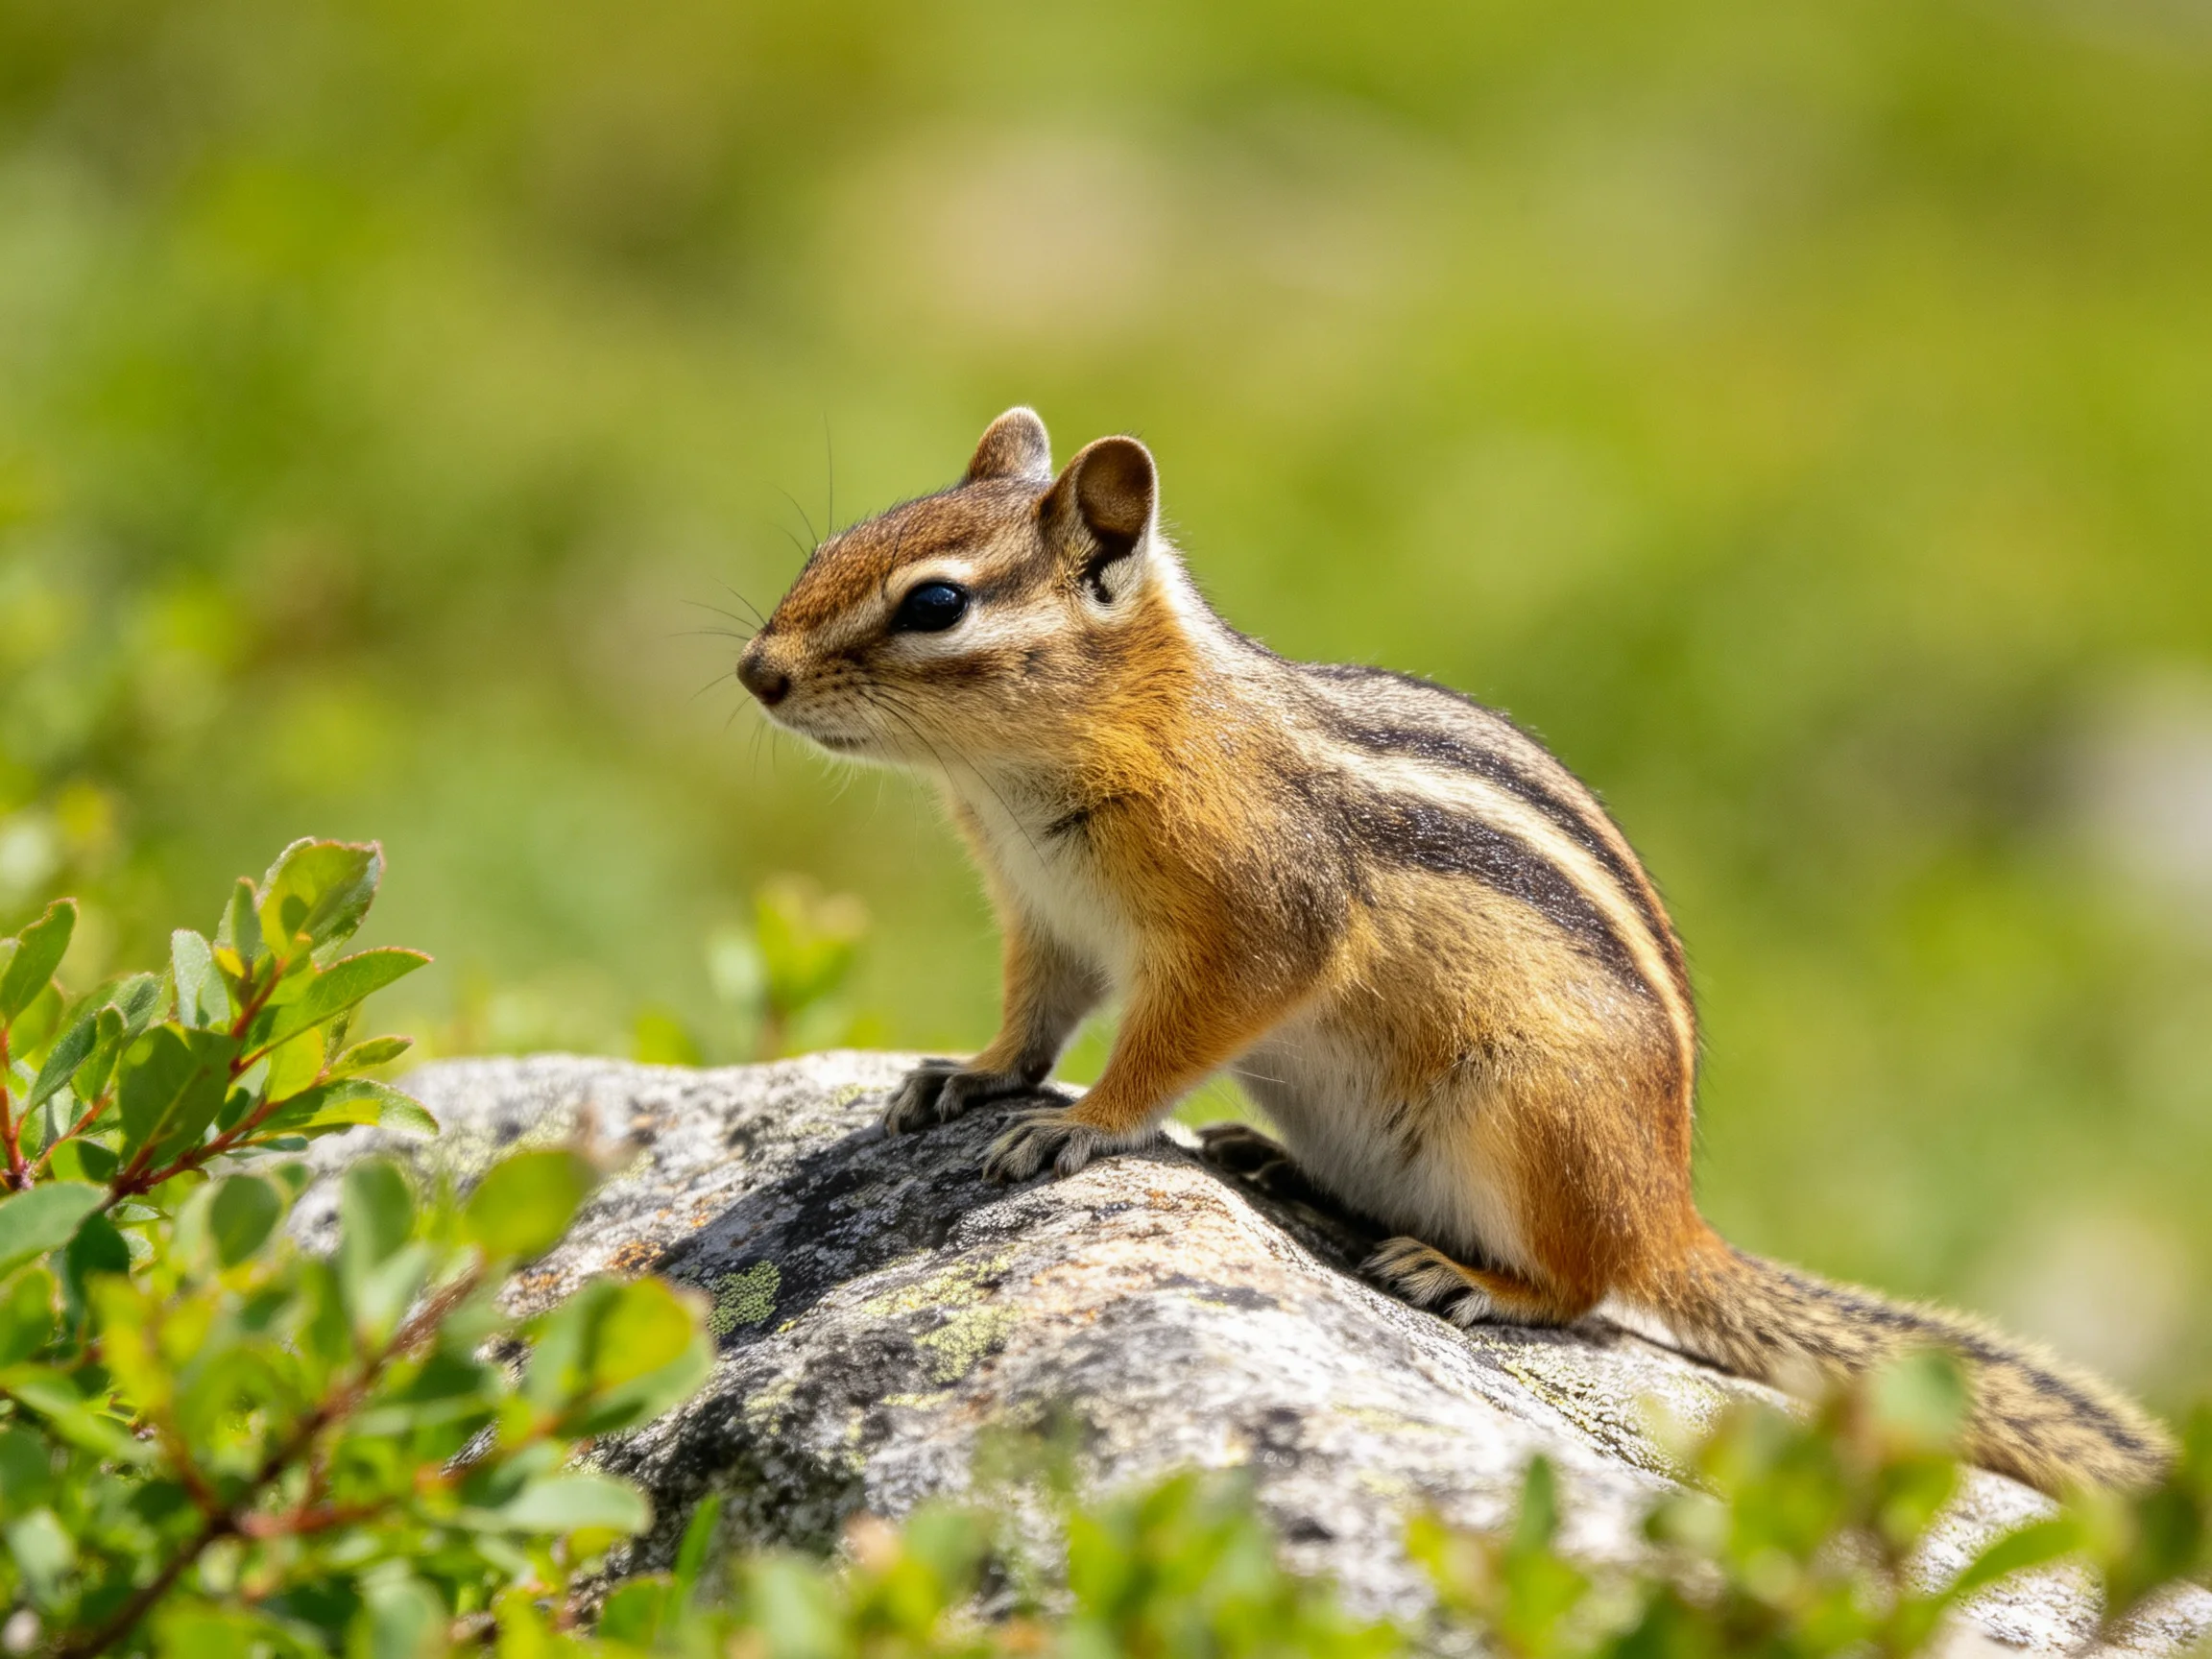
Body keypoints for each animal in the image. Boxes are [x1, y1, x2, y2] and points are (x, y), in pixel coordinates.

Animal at [736, 406, 2172, 1496]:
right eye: (831, 546)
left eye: (935, 604)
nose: (757, 672)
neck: (1024, 774)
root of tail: (1676, 1213)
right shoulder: (1048, 922)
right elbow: (1035, 1016)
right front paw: (972, 1077)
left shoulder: (1257, 926)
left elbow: (1166, 1038)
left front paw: (1080, 1124)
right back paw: (1277, 1162)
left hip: (1533, 1119)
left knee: (1591, 1287)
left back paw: (1466, 1274)